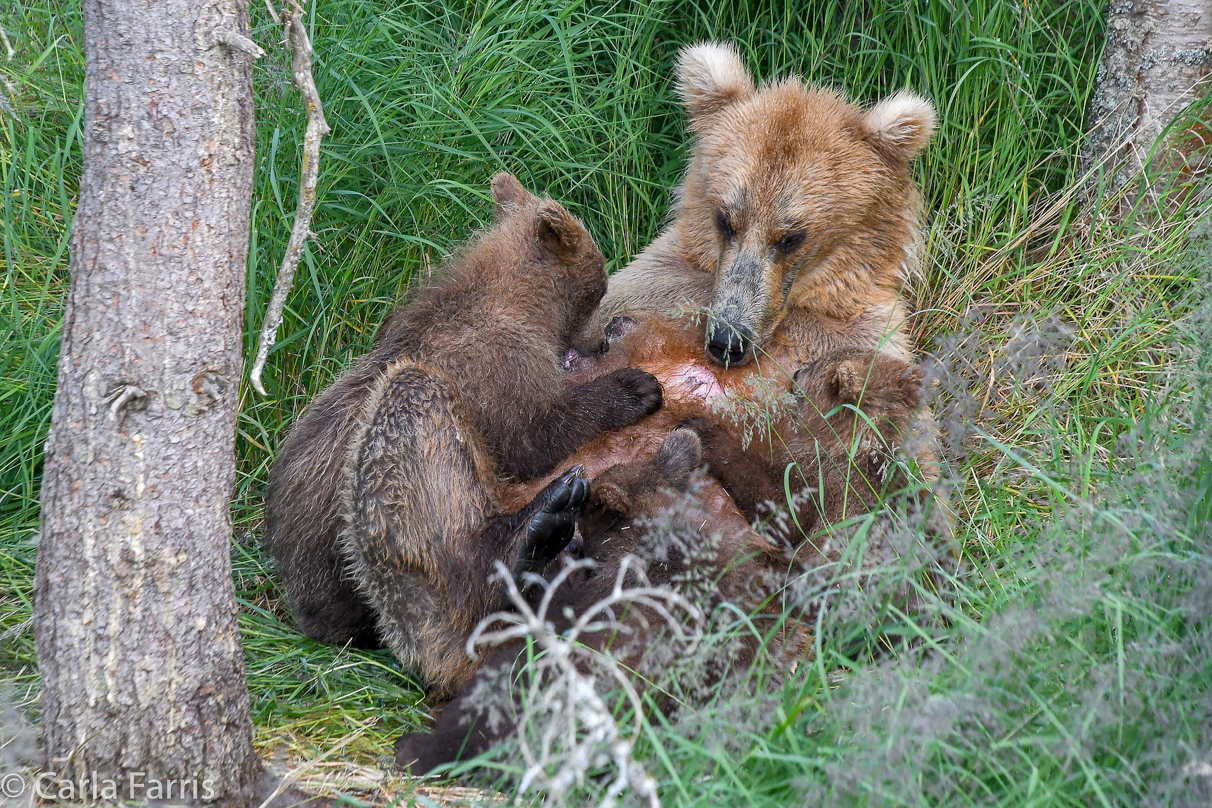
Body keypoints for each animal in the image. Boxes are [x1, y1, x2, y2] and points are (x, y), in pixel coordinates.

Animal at [265, 175, 664, 658]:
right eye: (600, 289)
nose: (602, 341)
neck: (520, 307)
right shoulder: (494, 371)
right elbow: (536, 435)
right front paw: (635, 388)